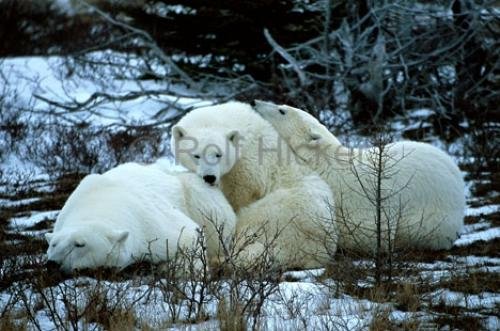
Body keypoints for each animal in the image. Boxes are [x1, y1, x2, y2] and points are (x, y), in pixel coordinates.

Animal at [45, 161, 236, 272]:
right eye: (53, 244)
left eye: (80, 244)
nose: (53, 263)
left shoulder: (148, 222)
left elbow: (189, 235)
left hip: (193, 188)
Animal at [171, 102, 336, 270]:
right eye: (196, 155)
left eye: (219, 154)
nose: (209, 177)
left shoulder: (248, 167)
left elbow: (240, 194)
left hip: (285, 212)